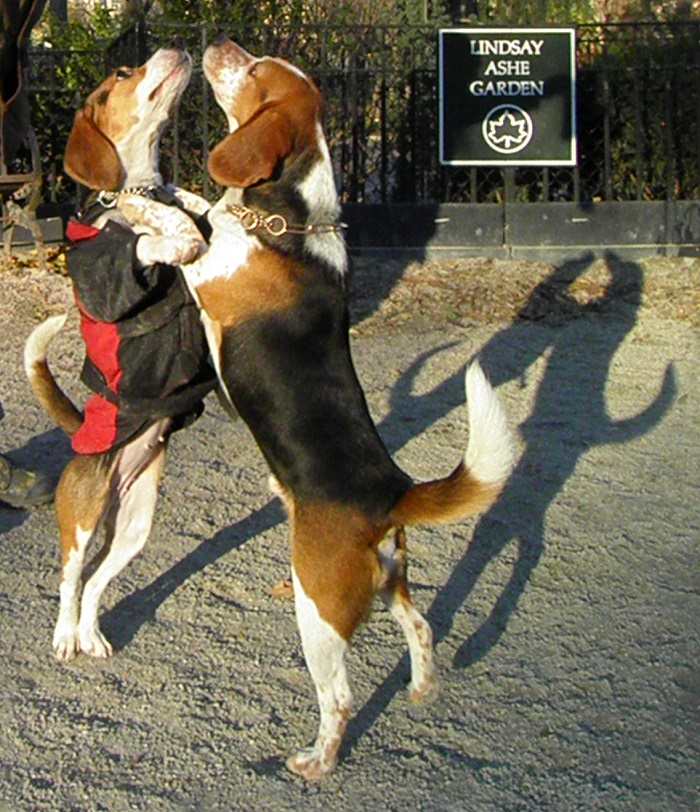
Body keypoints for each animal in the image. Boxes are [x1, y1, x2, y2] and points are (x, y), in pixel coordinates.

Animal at [24, 46, 217, 660]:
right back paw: (65, 637)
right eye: (122, 75)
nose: (174, 48)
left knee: (95, 583)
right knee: (70, 579)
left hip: (134, 530)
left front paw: (188, 204)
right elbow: (148, 238)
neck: (140, 187)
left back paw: (91, 634)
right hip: (82, 522)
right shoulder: (108, 274)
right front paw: (165, 227)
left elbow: (194, 208)